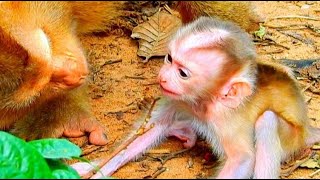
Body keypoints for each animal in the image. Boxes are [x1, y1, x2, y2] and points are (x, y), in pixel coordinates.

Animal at [72, 16, 320, 179]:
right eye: (169, 59)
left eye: (183, 73)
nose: (163, 77)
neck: (203, 101)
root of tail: (307, 128)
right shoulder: (177, 99)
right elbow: (149, 131)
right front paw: (95, 168)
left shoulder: (226, 120)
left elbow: (242, 159)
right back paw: (183, 131)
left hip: (292, 139)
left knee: (267, 120)